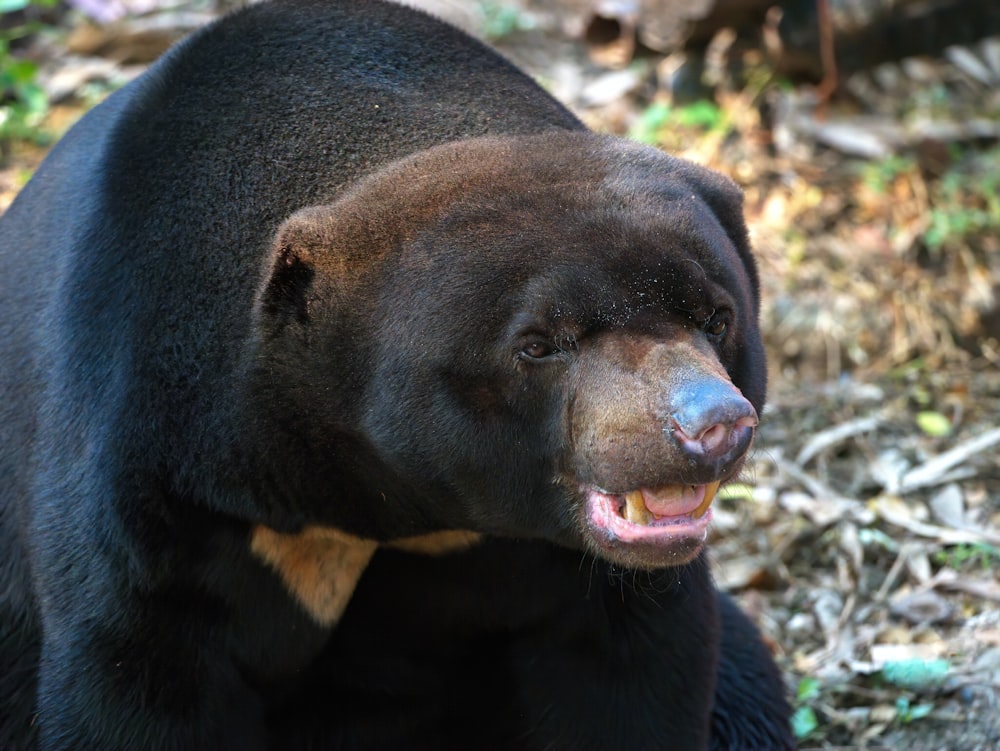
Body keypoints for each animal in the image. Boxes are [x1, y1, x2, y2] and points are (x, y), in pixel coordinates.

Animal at [0, 0, 796, 748]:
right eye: (540, 344)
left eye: (716, 317)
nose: (712, 426)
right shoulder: (161, 482)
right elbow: (140, 677)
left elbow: (633, 666)